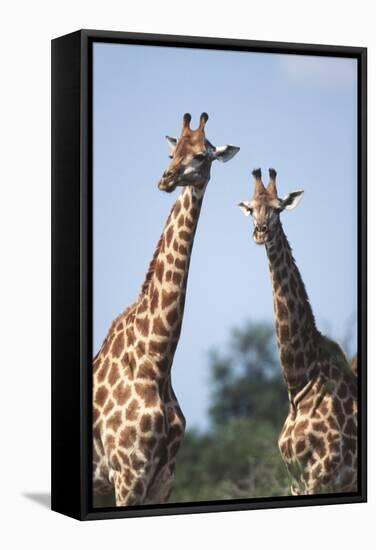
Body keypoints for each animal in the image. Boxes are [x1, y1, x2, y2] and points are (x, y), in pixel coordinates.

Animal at [92, 113, 239, 508]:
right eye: (172, 152)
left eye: (202, 155)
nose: (166, 178)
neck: (155, 361)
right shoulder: (127, 475)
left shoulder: (162, 479)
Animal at [239, 168, 356, 496]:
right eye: (251, 209)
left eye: (278, 209)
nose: (261, 232)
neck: (300, 380)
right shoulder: (296, 481)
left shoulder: (323, 474)